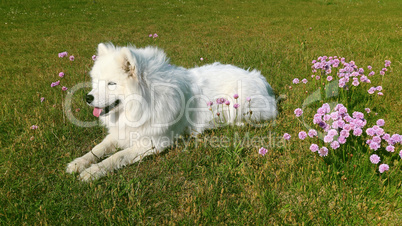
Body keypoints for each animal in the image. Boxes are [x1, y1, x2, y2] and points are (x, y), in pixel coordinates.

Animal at [67, 43, 278, 181]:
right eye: (97, 82)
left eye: (111, 84)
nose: (87, 97)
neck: (141, 105)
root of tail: (259, 78)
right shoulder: (121, 133)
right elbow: (97, 149)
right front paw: (78, 163)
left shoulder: (152, 142)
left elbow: (116, 157)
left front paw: (92, 172)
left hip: (238, 105)